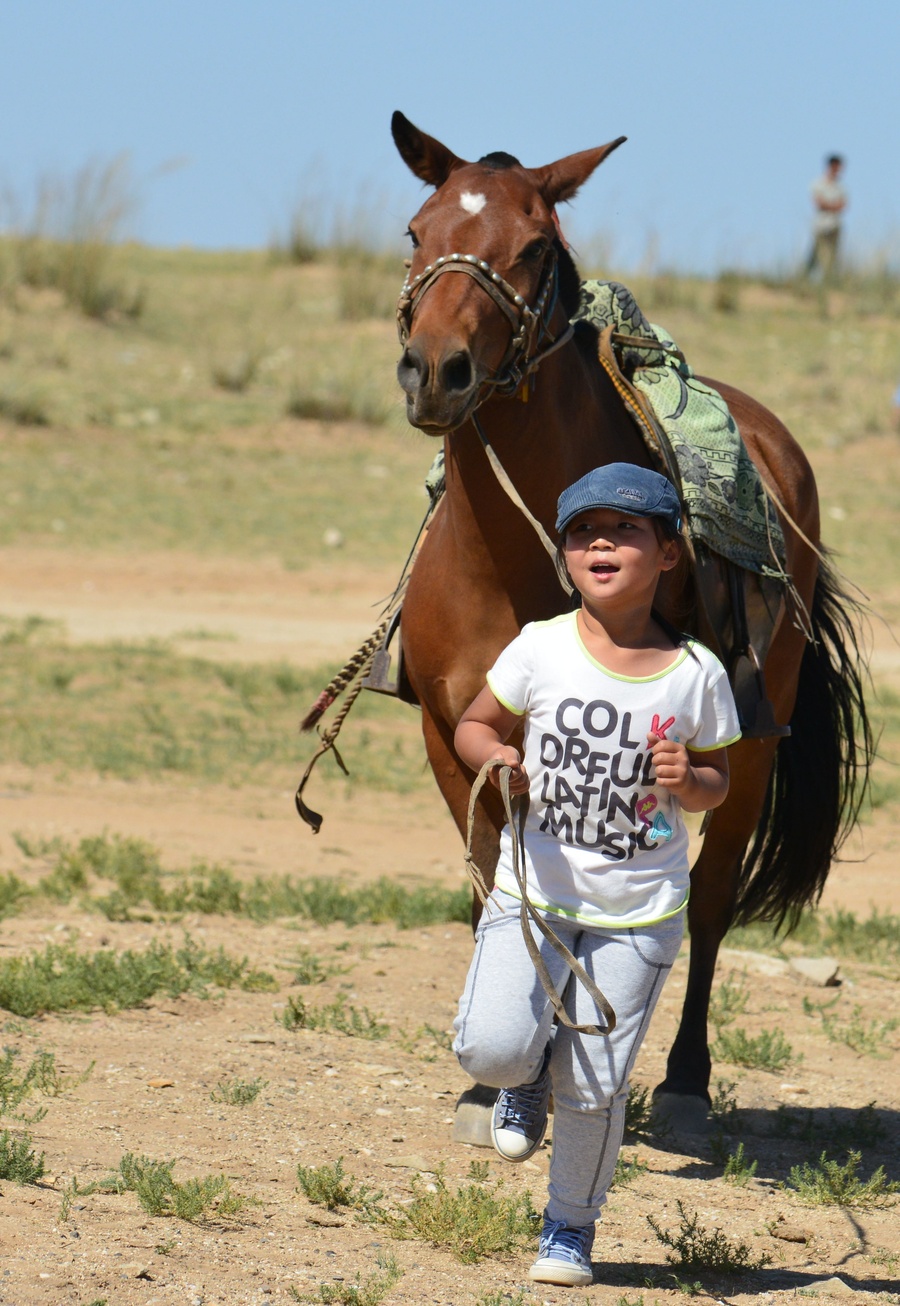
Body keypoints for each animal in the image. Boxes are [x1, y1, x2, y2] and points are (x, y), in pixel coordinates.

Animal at [386, 112, 872, 1128]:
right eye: (417, 230)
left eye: (536, 247)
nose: (436, 370)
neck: (511, 554)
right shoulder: (452, 736)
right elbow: (494, 886)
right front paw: (489, 1080)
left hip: (752, 744)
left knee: (714, 898)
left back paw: (687, 1079)